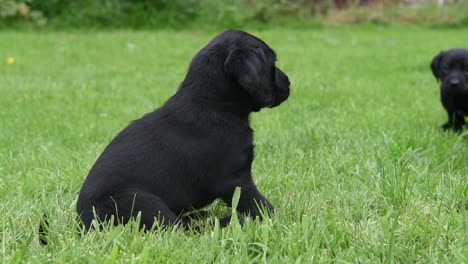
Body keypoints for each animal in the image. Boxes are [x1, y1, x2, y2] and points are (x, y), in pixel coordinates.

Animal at [77, 29, 288, 230]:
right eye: (272, 62)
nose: (289, 82)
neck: (212, 103)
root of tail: (83, 223)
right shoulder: (235, 180)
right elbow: (261, 206)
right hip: (139, 200)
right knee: (177, 227)